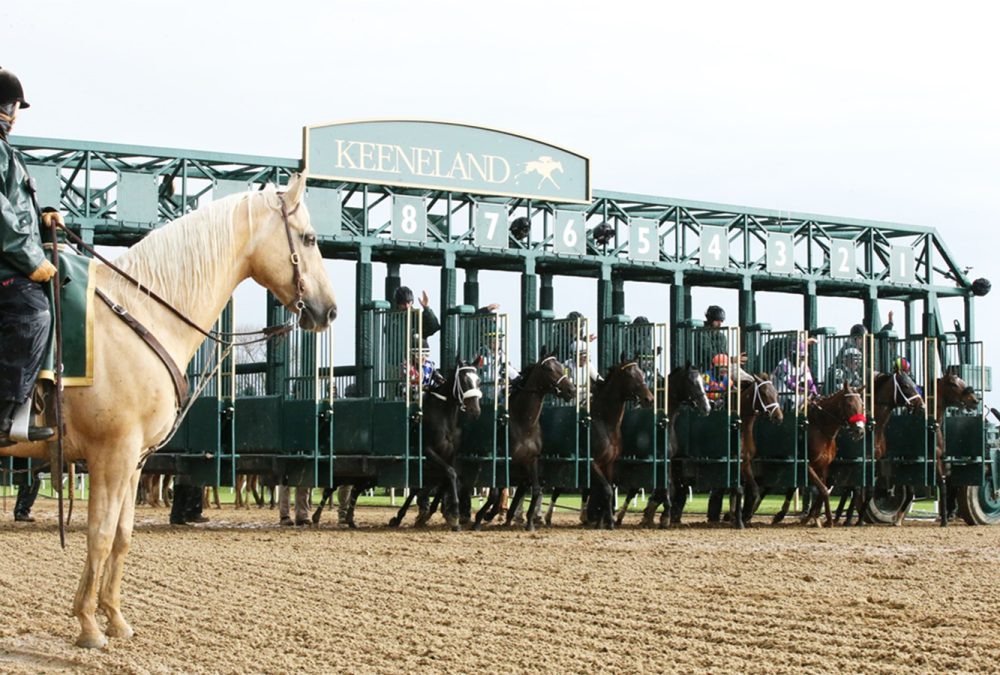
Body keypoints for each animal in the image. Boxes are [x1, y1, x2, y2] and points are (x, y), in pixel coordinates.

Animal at [0, 176, 336, 648]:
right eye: (308, 238)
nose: (330, 310)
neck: (140, 315)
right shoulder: (112, 455)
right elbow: (99, 535)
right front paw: (88, 626)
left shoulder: (134, 460)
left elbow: (121, 536)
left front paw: (114, 617)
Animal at [386, 362, 480, 532]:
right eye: (464, 381)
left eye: (478, 381)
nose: (475, 411)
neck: (445, 419)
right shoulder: (428, 451)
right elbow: (450, 473)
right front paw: (455, 515)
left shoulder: (450, 455)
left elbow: (447, 478)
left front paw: (440, 514)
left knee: (420, 486)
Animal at [476, 352, 580, 532]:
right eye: (548, 368)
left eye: (561, 366)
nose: (571, 390)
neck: (524, 424)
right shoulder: (502, 460)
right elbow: (496, 489)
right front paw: (480, 517)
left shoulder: (531, 460)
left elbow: (535, 489)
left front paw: (530, 522)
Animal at [612, 364, 708, 528]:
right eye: (692, 382)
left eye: (702, 381)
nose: (707, 407)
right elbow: (664, 486)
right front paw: (664, 516)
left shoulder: (666, 460)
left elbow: (665, 487)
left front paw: (652, 514)